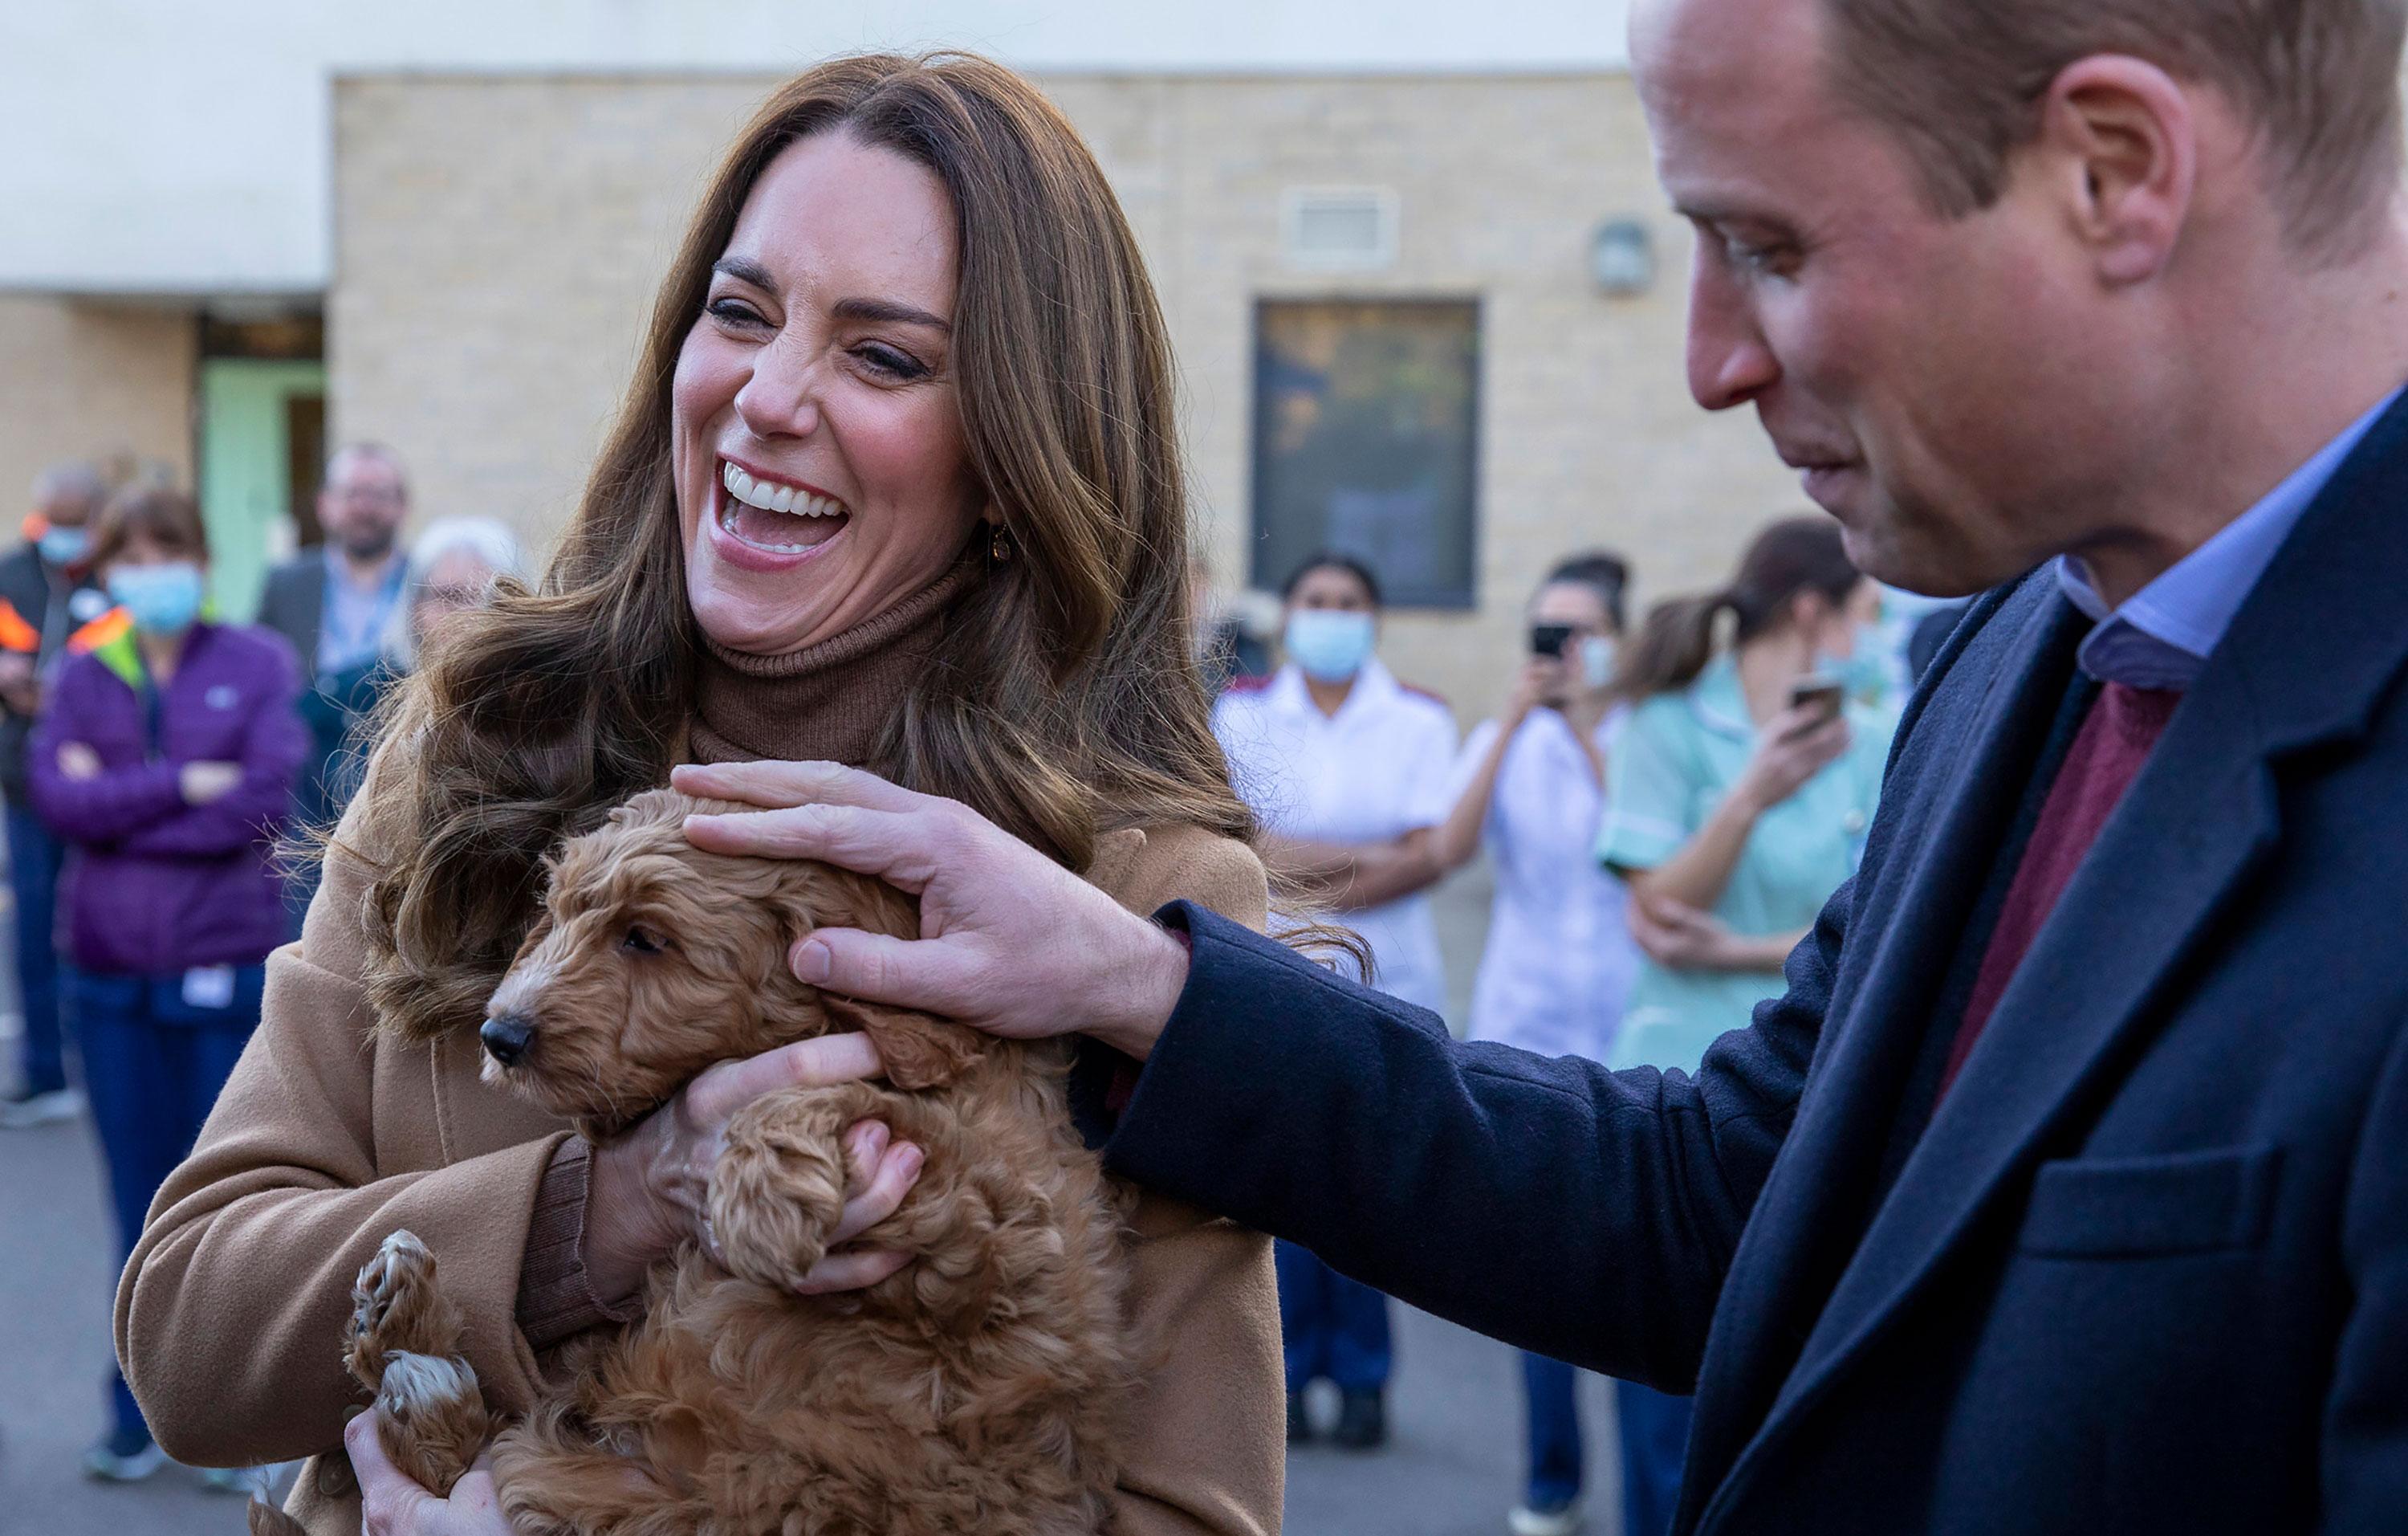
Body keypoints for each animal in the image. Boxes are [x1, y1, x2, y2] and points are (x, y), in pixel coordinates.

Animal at [306, 794, 1141, 1536]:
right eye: (562, 913)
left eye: (645, 937)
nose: (500, 1035)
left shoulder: (1003, 1244)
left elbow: (879, 1115)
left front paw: (761, 1197)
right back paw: (401, 1322)